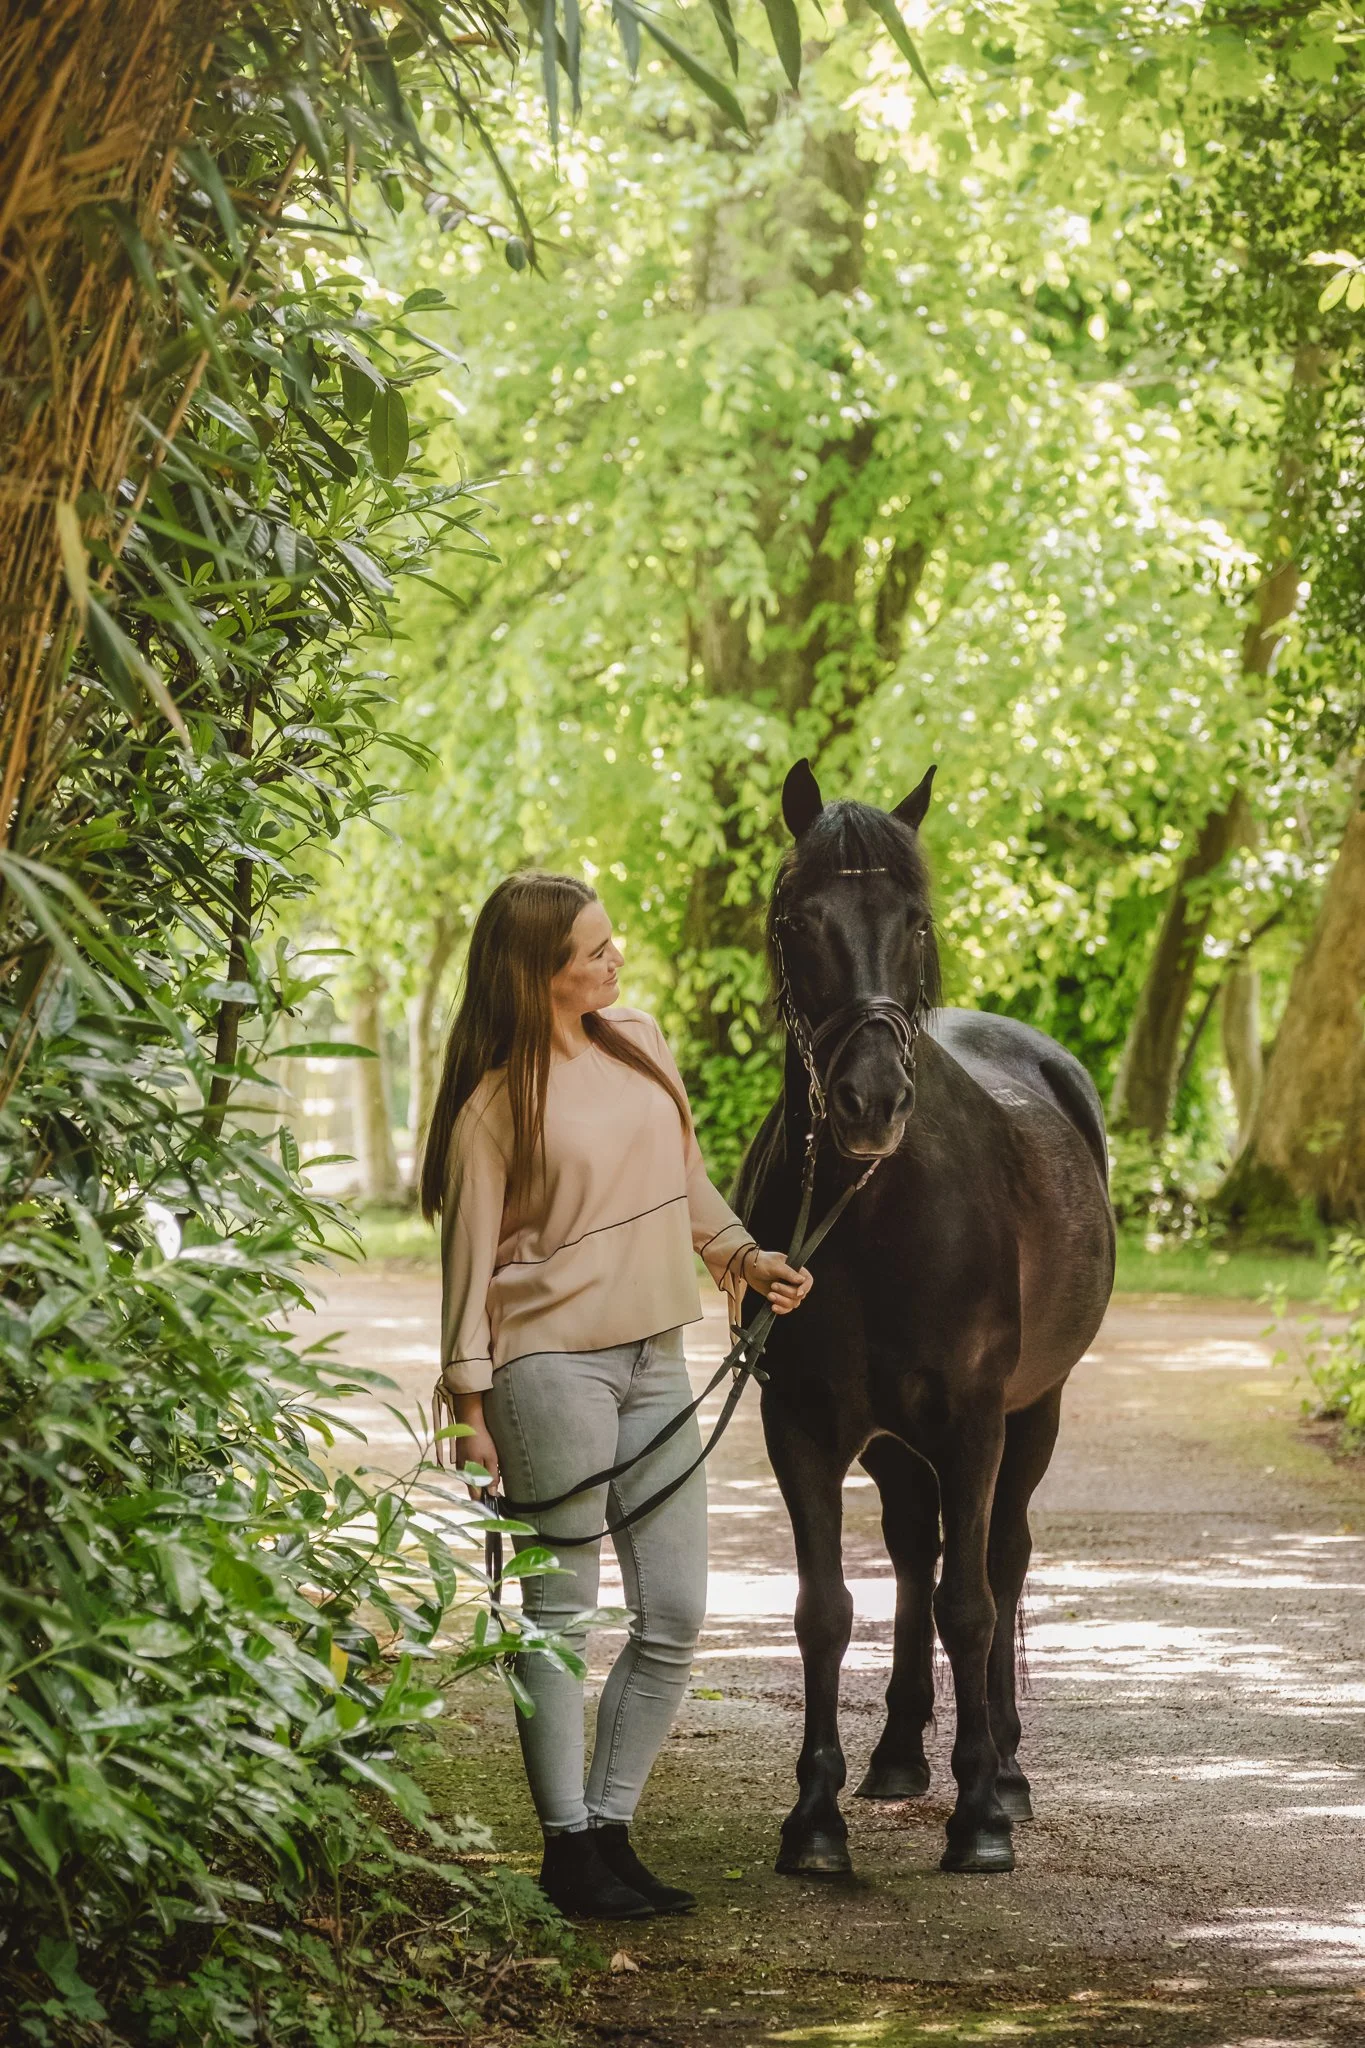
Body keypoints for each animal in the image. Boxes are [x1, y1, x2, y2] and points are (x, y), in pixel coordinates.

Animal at [733, 759, 1115, 1876]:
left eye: (918, 920)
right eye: (797, 920)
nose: (870, 1101)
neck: (876, 1212)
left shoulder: (975, 1418)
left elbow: (972, 1603)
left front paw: (981, 1812)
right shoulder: (802, 1424)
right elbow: (825, 1610)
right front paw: (814, 1819)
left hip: (1032, 1412)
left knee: (999, 1558)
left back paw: (1009, 1771)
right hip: (896, 1439)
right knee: (913, 1547)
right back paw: (901, 1753)